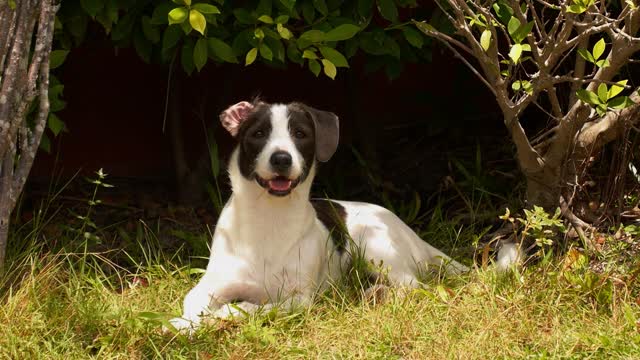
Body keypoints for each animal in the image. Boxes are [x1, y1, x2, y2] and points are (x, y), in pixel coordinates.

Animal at [169, 100, 470, 332]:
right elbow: (192, 304)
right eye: (259, 133)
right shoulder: (212, 285)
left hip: (375, 245)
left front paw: (222, 315)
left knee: (412, 285)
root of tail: (414, 236)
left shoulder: (299, 299)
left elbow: (252, 308)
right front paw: (184, 325)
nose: (281, 158)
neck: (269, 218)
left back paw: (378, 293)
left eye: (300, 134)